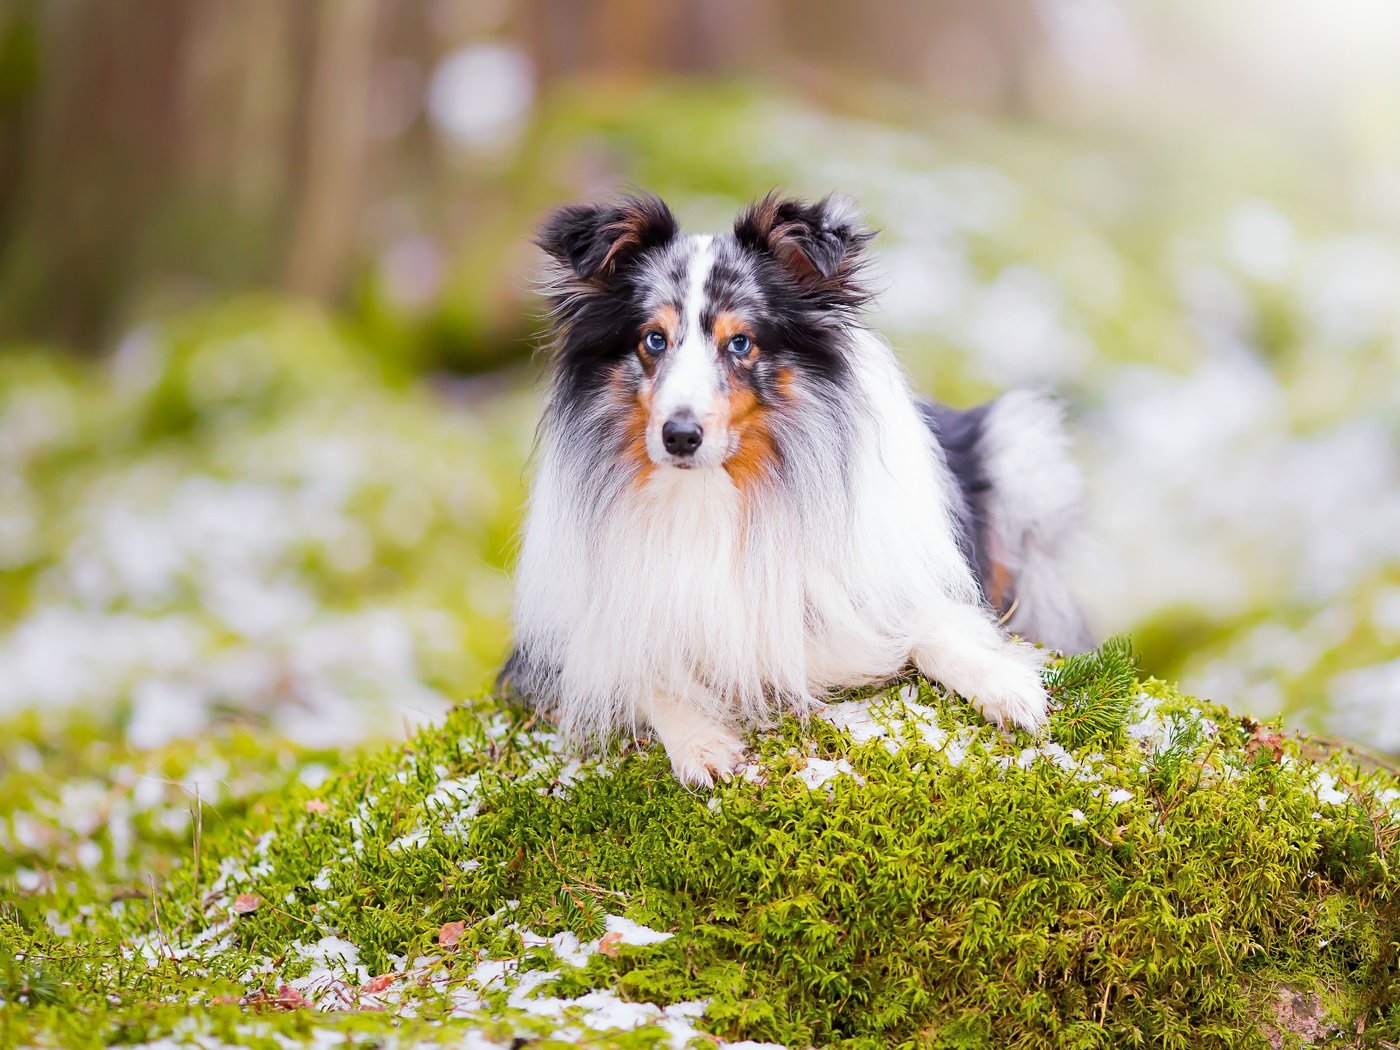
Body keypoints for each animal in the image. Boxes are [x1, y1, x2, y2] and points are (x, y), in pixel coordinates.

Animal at [504, 193, 1092, 784]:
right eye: (654, 339)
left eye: (740, 342)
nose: (680, 436)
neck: (710, 495)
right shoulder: (559, 648)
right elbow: (640, 672)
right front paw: (701, 742)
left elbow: (928, 622)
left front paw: (1004, 684)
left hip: (1018, 452)